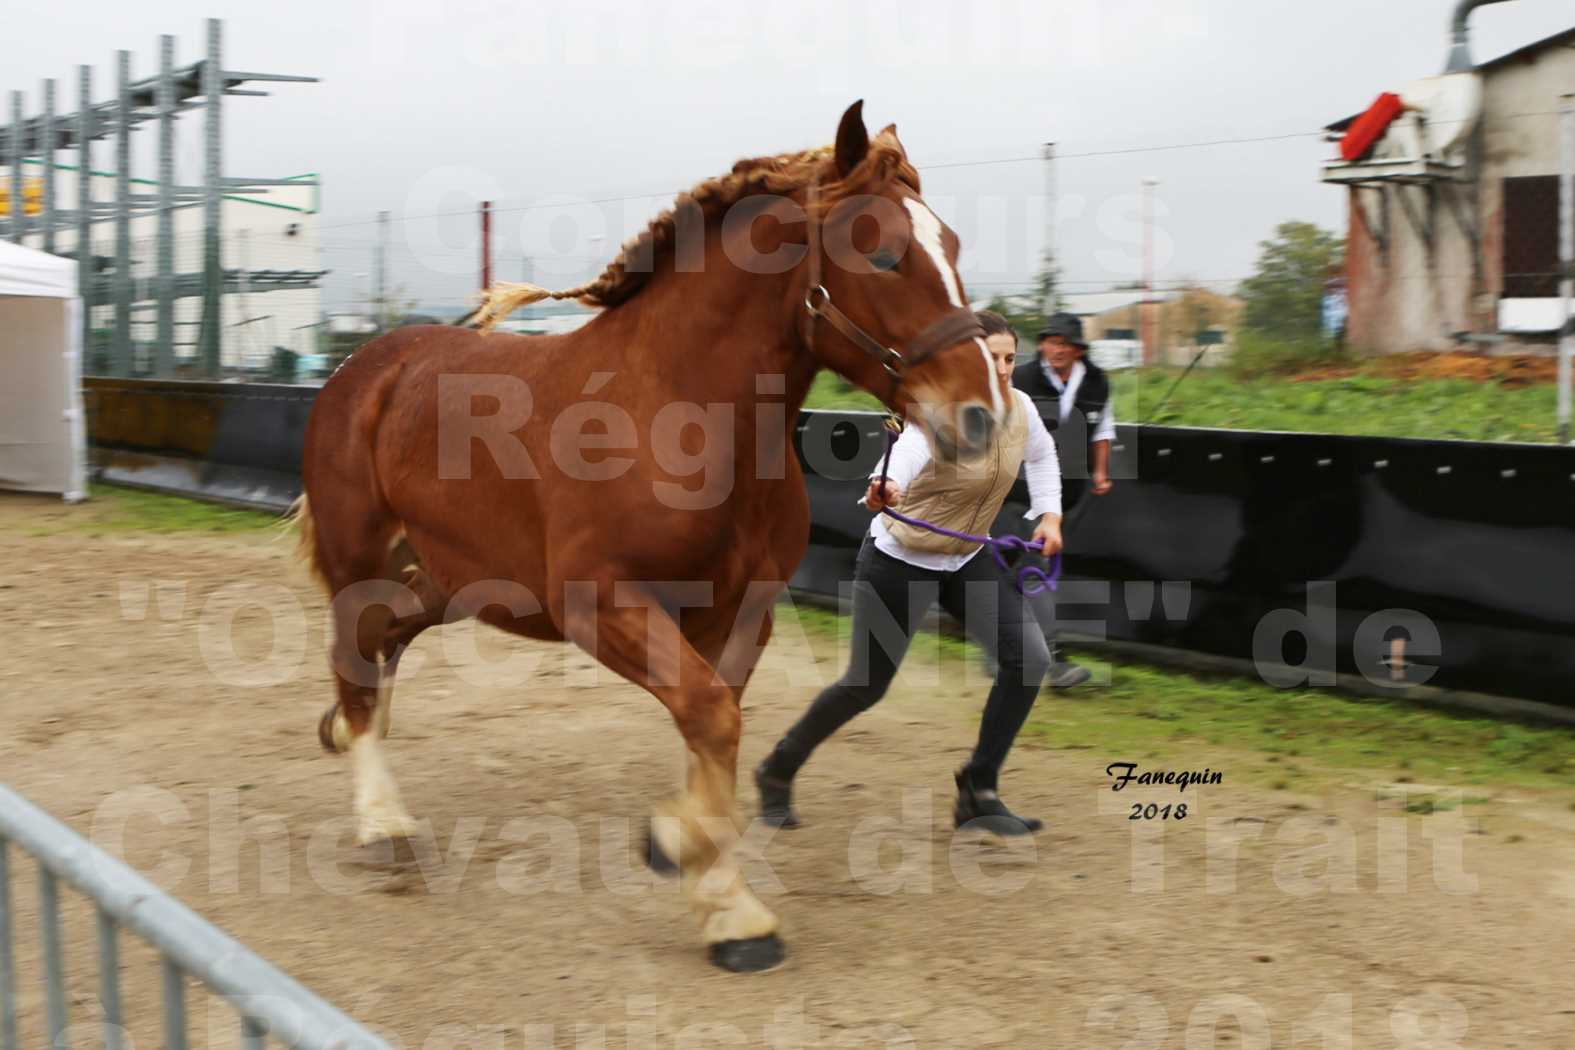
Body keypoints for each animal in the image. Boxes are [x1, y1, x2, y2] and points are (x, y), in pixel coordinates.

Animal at [294, 102, 1001, 976]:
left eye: (953, 247)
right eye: (880, 250)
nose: (980, 416)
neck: (680, 413)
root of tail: (363, 368)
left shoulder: (739, 615)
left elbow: (712, 727)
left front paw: (700, 871)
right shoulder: (599, 605)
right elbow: (709, 717)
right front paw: (715, 889)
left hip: (447, 581)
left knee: (380, 650)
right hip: (360, 560)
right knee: (354, 662)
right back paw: (383, 824)